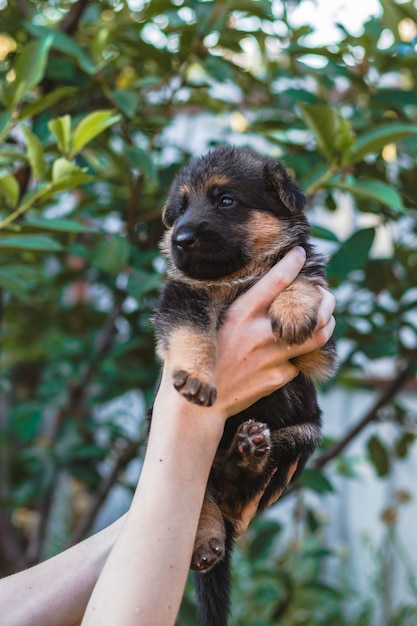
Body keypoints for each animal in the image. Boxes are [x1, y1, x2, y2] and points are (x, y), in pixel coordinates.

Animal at [151, 145, 336, 624]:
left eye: (225, 201)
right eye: (179, 209)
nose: (180, 239)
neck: (235, 275)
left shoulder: (319, 349)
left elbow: (303, 280)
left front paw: (293, 310)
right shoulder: (180, 300)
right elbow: (192, 334)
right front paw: (196, 376)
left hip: (302, 435)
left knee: (233, 487)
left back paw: (248, 453)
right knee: (204, 494)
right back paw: (205, 537)